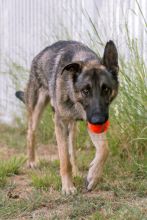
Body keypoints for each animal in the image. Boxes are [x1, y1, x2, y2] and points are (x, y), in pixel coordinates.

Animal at [15, 40, 119, 194]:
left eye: (105, 89)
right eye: (85, 90)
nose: (98, 121)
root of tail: (40, 54)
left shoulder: (90, 121)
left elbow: (104, 149)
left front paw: (93, 176)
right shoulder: (60, 124)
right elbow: (64, 160)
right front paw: (68, 187)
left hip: (73, 128)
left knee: (73, 151)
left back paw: (76, 172)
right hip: (37, 109)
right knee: (31, 133)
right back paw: (32, 161)